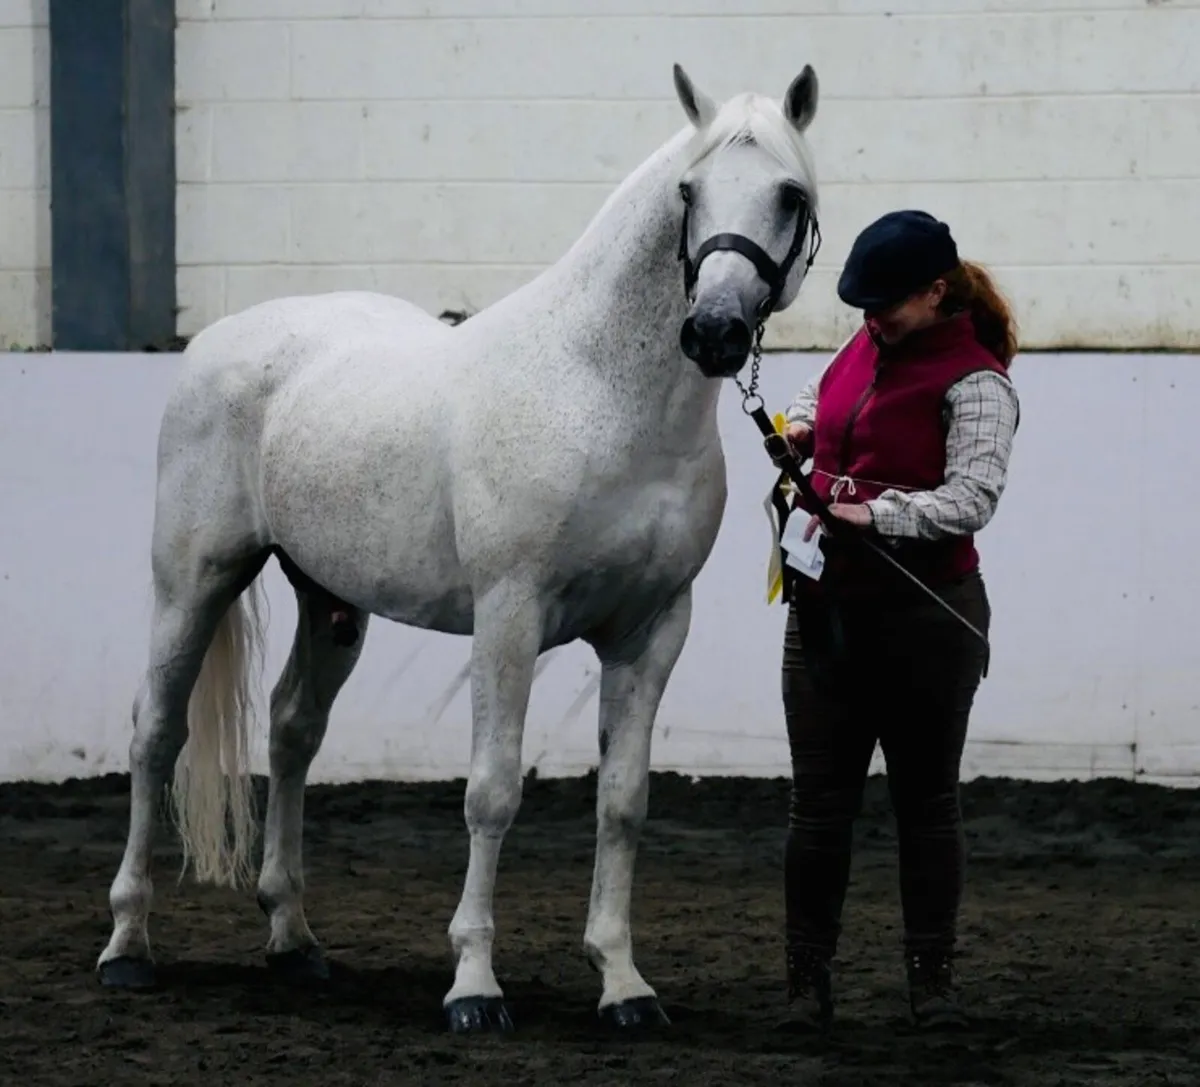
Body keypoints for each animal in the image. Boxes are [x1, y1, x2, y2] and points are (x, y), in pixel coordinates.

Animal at [95, 62, 823, 1033]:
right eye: (687, 190)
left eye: (789, 194)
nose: (712, 331)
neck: (598, 395)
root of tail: (218, 338)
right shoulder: (509, 615)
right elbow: (492, 792)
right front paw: (475, 985)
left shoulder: (654, 628)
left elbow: (623, 802)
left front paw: (622, 984)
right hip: (193, 581)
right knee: (156, 732)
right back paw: (127, 944)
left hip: (329, 600)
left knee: (292, 731)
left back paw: (294, 940)